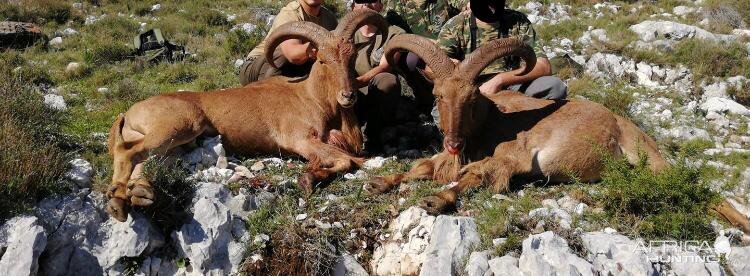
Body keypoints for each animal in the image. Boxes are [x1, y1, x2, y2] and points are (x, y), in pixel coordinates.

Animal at [106, 10, 390, 222]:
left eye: (351, 57)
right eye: (321, 60)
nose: (348, 96)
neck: (311, 97)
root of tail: (130, 112)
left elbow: (349, 159)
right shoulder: (299, 139)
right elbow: (346, 160)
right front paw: (308, 179)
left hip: (172, 146)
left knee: (141, 160)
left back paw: (138, 193)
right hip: (179, 126)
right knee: (127, 151)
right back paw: (117, 202)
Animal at [370, 34, 668, 215]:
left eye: (472, 97)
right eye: (438, 95)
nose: (454, 143)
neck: (491, 120)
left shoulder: (514, 157)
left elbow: (474, 175)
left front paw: (436, 199)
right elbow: (423, 167)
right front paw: (380, 182)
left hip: (644, 154)